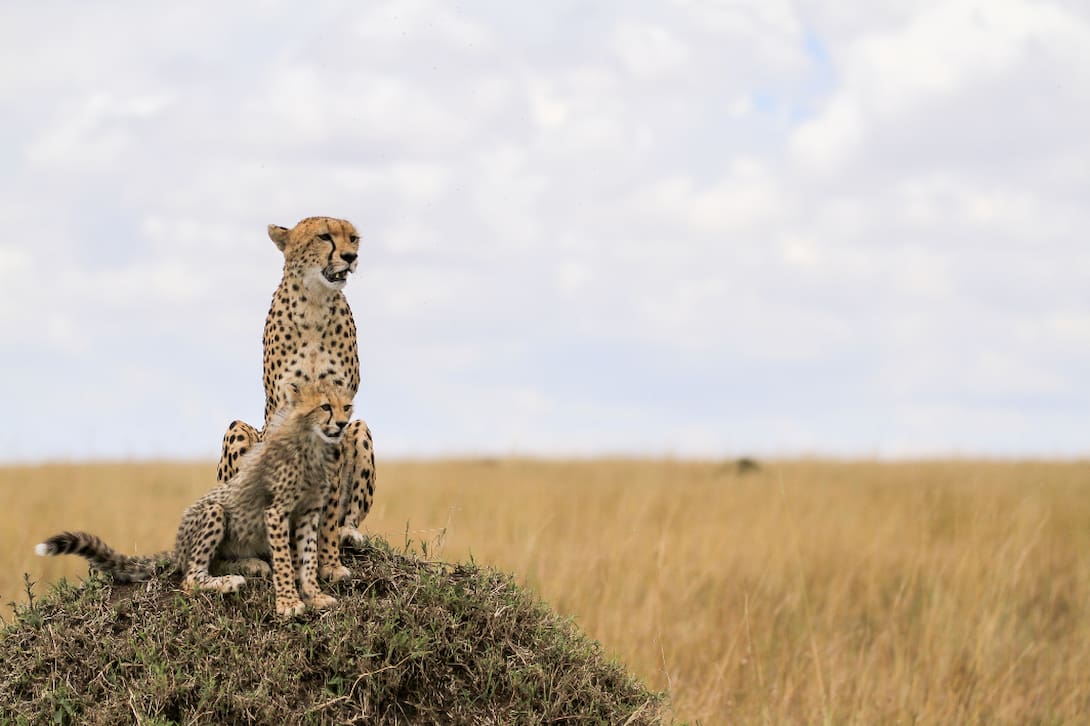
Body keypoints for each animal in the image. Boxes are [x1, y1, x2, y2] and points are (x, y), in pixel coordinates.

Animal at [37, 379, 353, 614]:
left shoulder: (309, 512)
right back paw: (229, 581)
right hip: (214, 511)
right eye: (325, 406)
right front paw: (288, 602)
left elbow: (308, 558)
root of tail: (176, 548)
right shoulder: (276, 511)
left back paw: (248, 566)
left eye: (347, 406)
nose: (342, 424)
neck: (312, 443)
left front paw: (314, 595)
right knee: (190, 577)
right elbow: (286, 560)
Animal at [216, 214, 379, 571]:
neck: (315, 305)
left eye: (353, 238)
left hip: (360, 430)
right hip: (237, 430)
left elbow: (329, 503)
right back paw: (249, 561)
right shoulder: (280, 408)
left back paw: (348, 533)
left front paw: (329, 563)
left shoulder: (341, 413)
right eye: (324, 237)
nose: (350, 257)